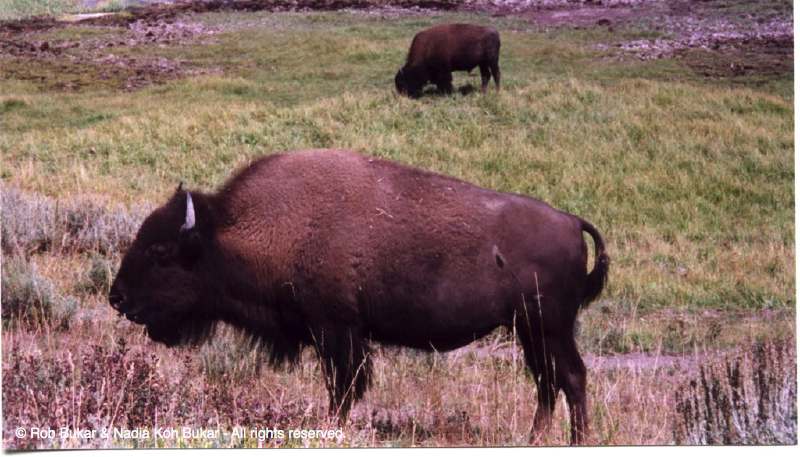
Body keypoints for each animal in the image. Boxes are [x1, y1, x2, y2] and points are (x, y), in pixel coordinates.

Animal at [109, 149, 608, 444]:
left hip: (549, 327)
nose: (117, 298)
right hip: (529, 331)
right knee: (547, 382)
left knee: (571, 378)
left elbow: (343, 389)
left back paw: (575, 441)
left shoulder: (338, 332)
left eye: (160, 252)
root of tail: (570, 221)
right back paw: (533, 440)